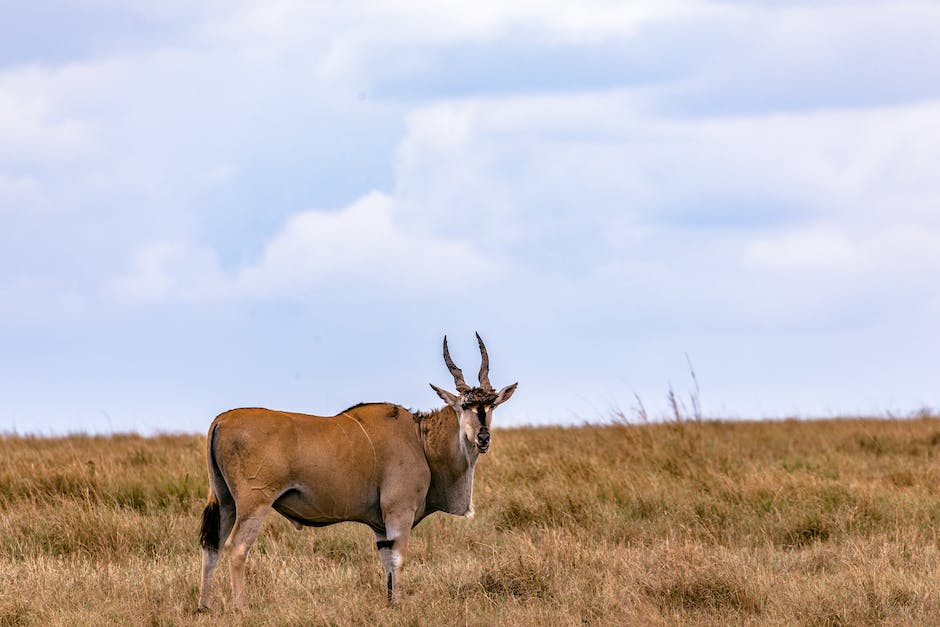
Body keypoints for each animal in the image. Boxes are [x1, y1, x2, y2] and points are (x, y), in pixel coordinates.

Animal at [196, 336, 516, 612]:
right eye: (465, 405)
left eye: (491, 404)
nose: (483, 437)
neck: (419, 438)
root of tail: (221, 420)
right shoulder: (398, 512)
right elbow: (398, 558)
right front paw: (399, 604)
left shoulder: (380, 525)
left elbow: (387, 561)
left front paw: (390, 603)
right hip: (255, 504)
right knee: (236, 548)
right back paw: (241, 607)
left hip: (225, 502)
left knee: (212, 547)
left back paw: (204, 606)